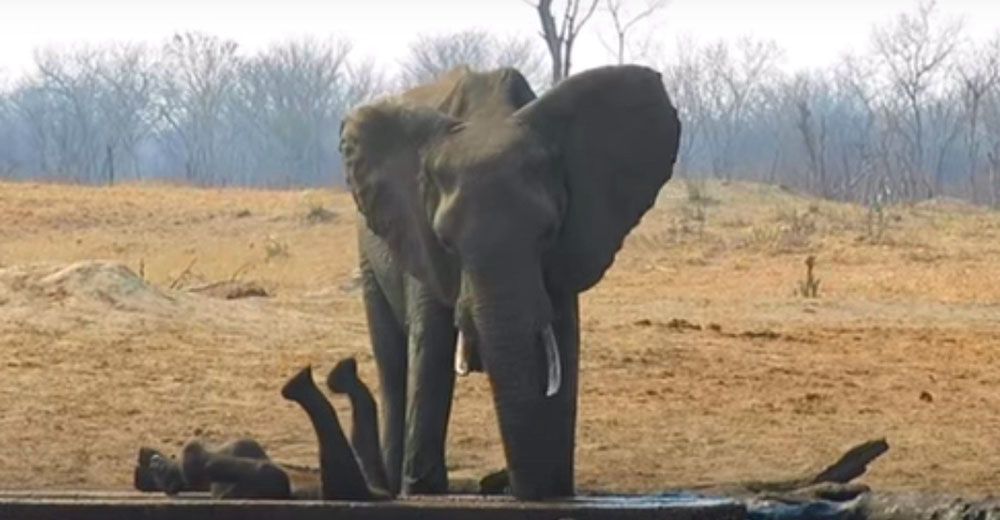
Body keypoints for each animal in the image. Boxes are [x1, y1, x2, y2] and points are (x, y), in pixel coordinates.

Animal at [342, 64, 680, 500]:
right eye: (446, 241)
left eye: (548, 233)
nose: (504, 484)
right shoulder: (417, 234)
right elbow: (431, 348)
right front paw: (424, 492)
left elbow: (563, 349)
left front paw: (554, 490)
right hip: (368, 258)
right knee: (393, 363)